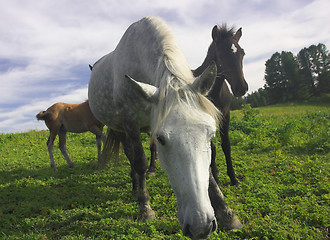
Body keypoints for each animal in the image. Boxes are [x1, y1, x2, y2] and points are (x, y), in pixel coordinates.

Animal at [148, 24, 246, 187]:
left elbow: (226, 146)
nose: (241, 88)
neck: (215, 91)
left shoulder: (225, 114)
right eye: (221, 54)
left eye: (242, 53)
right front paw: (216, 180)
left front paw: (233, 179)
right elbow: (212, 148)